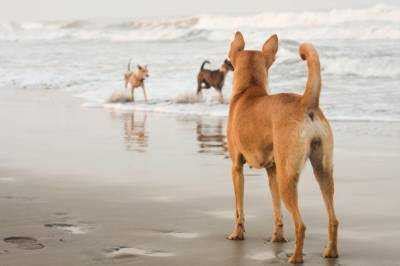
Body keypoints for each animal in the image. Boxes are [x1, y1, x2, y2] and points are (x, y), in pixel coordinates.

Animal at [227, 31, 340, 264]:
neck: (249, 90)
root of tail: (306, 103)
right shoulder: (272, 171)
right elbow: (276, 210)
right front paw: (277, 237)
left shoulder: (236, 168)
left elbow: (239, 209)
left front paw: (237, 233)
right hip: (322, 172)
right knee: (333, 219)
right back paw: (330, 252)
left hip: (287, 178)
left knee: (301, 225)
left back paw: (296, 257)